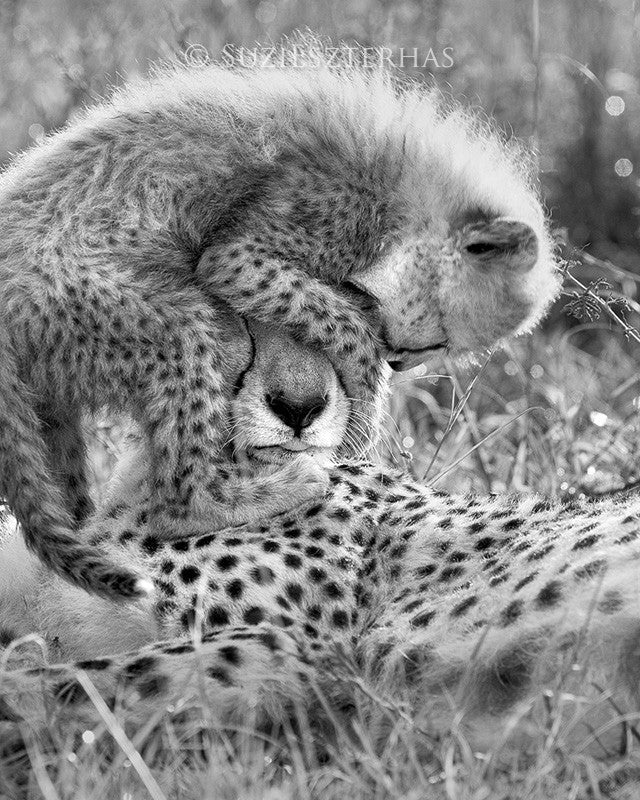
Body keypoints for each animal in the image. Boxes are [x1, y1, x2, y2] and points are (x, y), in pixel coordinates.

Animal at [0, 37, 560, 603]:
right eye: (439, 341)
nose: (402, 360)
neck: (409, 186)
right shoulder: (247, 252)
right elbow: (338, 320)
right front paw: (366, 396)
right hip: (162, 328)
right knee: (175, 501)